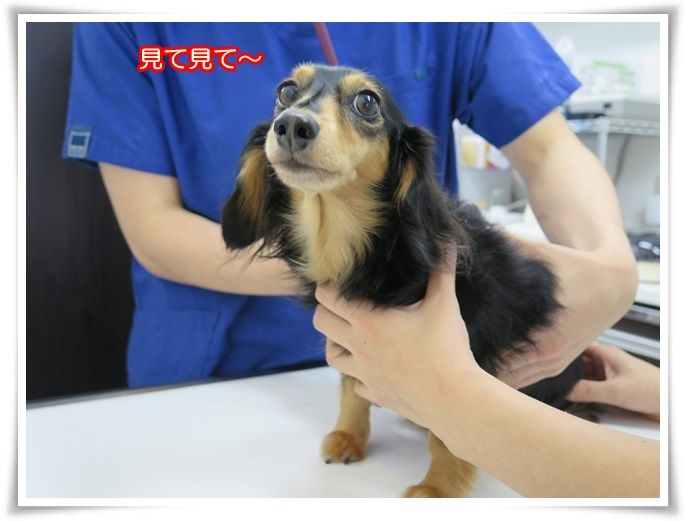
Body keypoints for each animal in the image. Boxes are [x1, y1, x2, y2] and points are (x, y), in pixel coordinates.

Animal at [221, 64, 583, 497]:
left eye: (367, 102)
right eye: (287, 91)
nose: (291, 125)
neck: (368, 250)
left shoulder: (470, 352)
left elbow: (448, 431)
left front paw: (437, 488)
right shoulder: (349, 332)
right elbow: (351, 390)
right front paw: (349, 436)